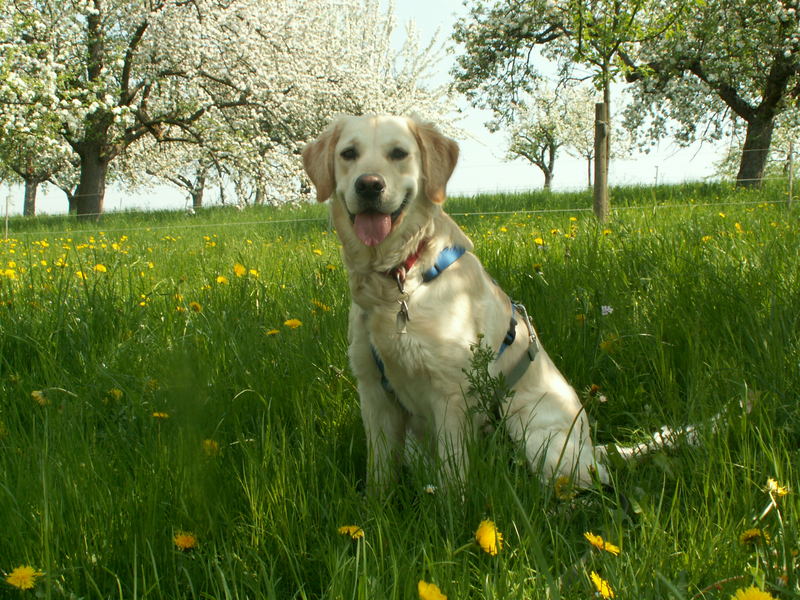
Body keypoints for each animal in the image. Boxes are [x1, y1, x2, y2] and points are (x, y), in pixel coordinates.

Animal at [304, 113, 608, 492]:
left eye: (398, 153)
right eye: (348, 154)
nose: (369, 185)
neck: (399, 277)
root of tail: (595, 452)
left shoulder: (450, 392)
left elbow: (452, 477)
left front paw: (453, 506)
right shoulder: (373, 390)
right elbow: (380, 472)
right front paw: (376, 504)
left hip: (532, 429)